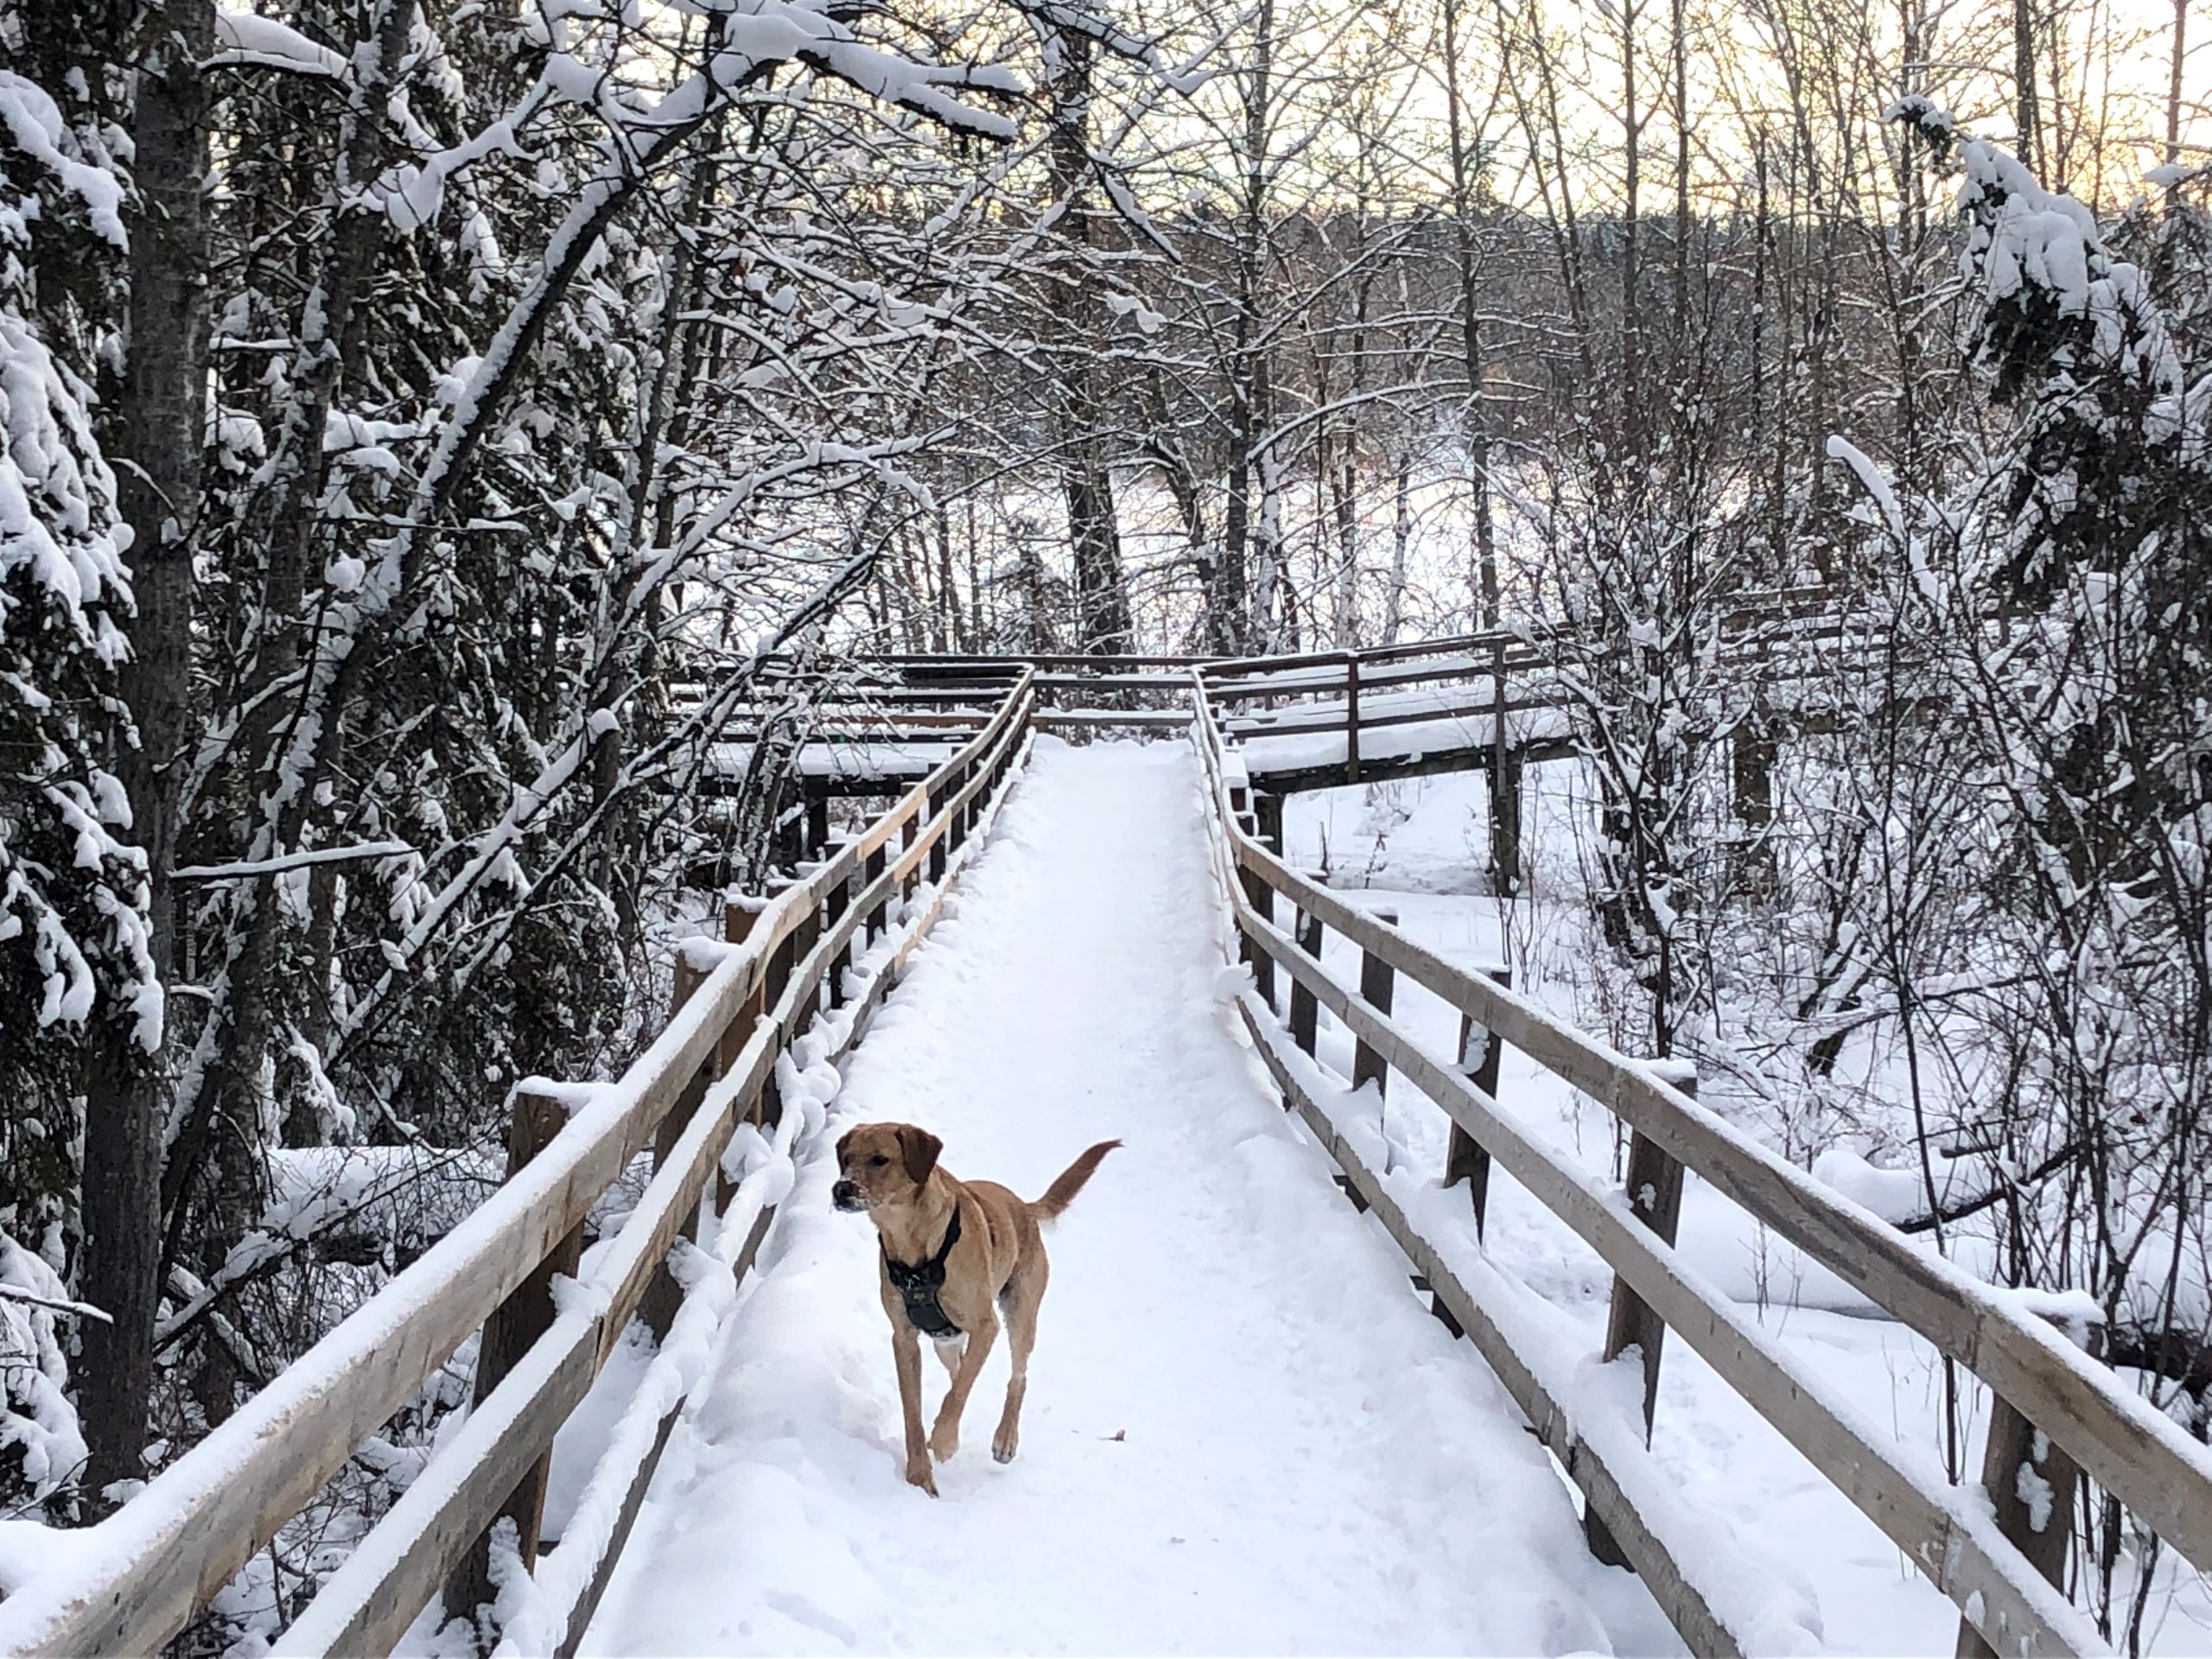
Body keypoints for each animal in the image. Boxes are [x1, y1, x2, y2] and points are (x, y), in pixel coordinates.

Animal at [831, 1123, 1123, 1503]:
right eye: (847, 1159)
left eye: (880, 1159)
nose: (841, 1189)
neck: (911, 1242)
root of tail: (1024, 1208)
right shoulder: (905, 1338)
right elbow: (915, 1410)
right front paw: (919, 1475)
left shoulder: (986, 1325)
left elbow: (959, 1392)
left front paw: (944, 1441)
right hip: (945, 1340)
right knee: (961, 1370)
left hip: (1020, 1315)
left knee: (1016, 1377)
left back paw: (1005, 1438)